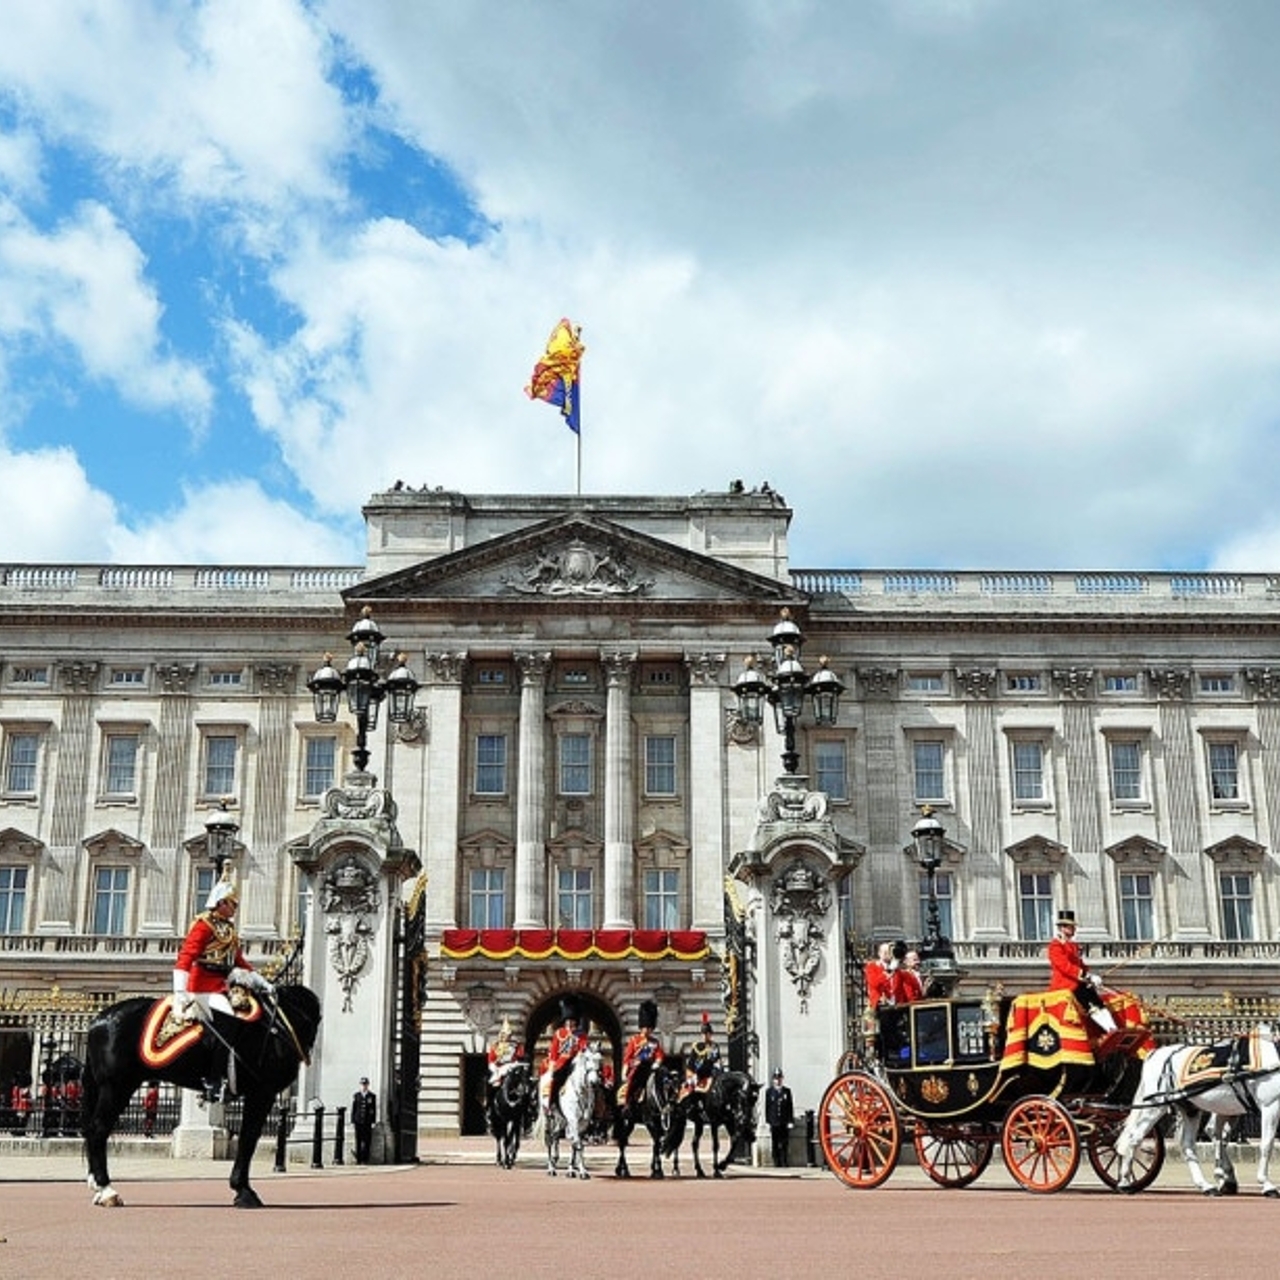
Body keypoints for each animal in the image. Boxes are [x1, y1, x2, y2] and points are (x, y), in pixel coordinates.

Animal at [82, 988, 322, 1208]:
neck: (281, 1023)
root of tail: (98, 1020)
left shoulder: (261, 1093)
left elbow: (248, 1137)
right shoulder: (262, 1091)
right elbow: (249, 1138)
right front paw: (243, 1191)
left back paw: (96, 1187)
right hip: (116, 1086)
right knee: (97, 1130)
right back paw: (107, 1190)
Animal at [537, 1044, 601, 1172]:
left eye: (599, 1059)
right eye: (587, 1059)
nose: (594, 1082)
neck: (581, 1092)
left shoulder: (583, 1122)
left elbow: (576, 1143)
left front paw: (573, 1168)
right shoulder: (573, 1120)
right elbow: (577, 1143)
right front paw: (581, 1171)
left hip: (561, 1119)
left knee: (555, 1135)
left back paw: (555, 1160)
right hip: (547, 1116)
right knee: (549, 1139)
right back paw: (550, 1167)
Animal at [1111, 1024, 1280, 1192]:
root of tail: (1156, 1054)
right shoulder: (1270, 1105)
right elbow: (1267, 1144)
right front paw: (1266, 1183)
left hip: (1193, 1109)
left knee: (1191, 1144)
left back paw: (1206, 1184)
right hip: (1155, 1107)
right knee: (1135, 1137)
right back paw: (1124, 1181)